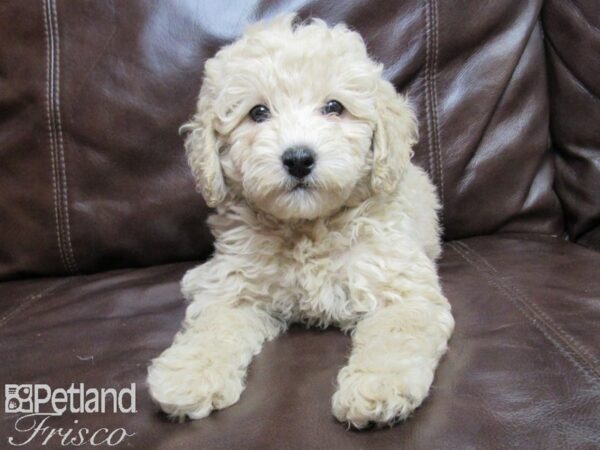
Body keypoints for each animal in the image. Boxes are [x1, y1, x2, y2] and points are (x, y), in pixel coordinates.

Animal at [149, 14, 454, 428]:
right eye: (258, 113)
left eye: (334, 107)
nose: (298, 159)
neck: (308, 226)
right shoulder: (238, 288)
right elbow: (212, 326)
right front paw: (187, 376)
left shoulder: (399, 285)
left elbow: (397, 333)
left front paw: (378, 387)